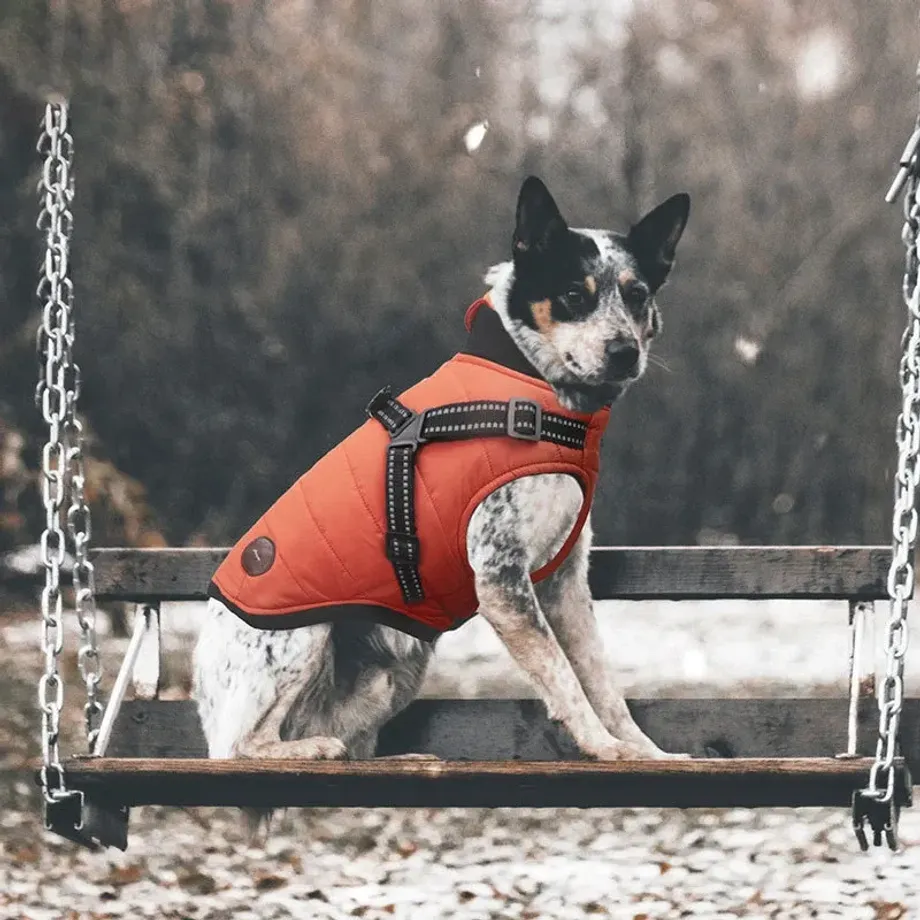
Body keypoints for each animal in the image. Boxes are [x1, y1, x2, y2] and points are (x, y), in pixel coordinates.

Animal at [190, 176, 688, 796]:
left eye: (638, 293)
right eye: (574, 294)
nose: (625, 353)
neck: (531, 383)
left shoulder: (567, 583)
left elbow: (602, 681)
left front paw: (646, 751)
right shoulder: (502, 579)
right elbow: (564, 679)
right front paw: (602, 747)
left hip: (399, 666)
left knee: (351, 743)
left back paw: (396, 759)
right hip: (300, 638)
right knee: (242, 745)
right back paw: (309, 750)